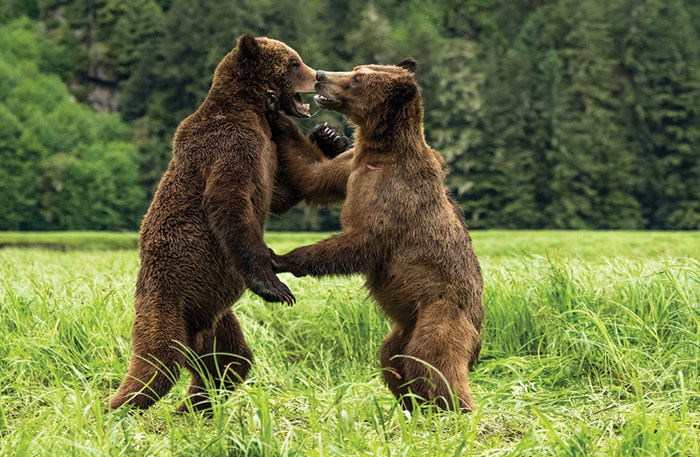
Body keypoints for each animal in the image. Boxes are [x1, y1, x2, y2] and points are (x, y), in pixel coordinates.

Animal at [109, 35, 351, 412]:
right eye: (294, 62)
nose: (318, 76)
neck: (250, 110)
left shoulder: (267, 154)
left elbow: (280, 193)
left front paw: (329, 136)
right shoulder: (232, 147)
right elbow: (231, 206)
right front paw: (275, 288)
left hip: (216, 321)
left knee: (230, 362)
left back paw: (192, 408)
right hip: (166, 302)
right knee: (156, 365)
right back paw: (115, 408)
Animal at [270, 60, 484, 412]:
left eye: (357, 79)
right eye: (356, 68)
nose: (321, 76)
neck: (379, 151)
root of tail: (480, 332)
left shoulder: (393, 197)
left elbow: (363, 242)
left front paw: (281, 257)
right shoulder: (351, 169)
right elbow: (312, 175)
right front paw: (278, 111)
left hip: (441, 314)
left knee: (433, 365)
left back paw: (458, 412)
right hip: (405, 326)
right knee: (392, 361)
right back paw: (411, 408)